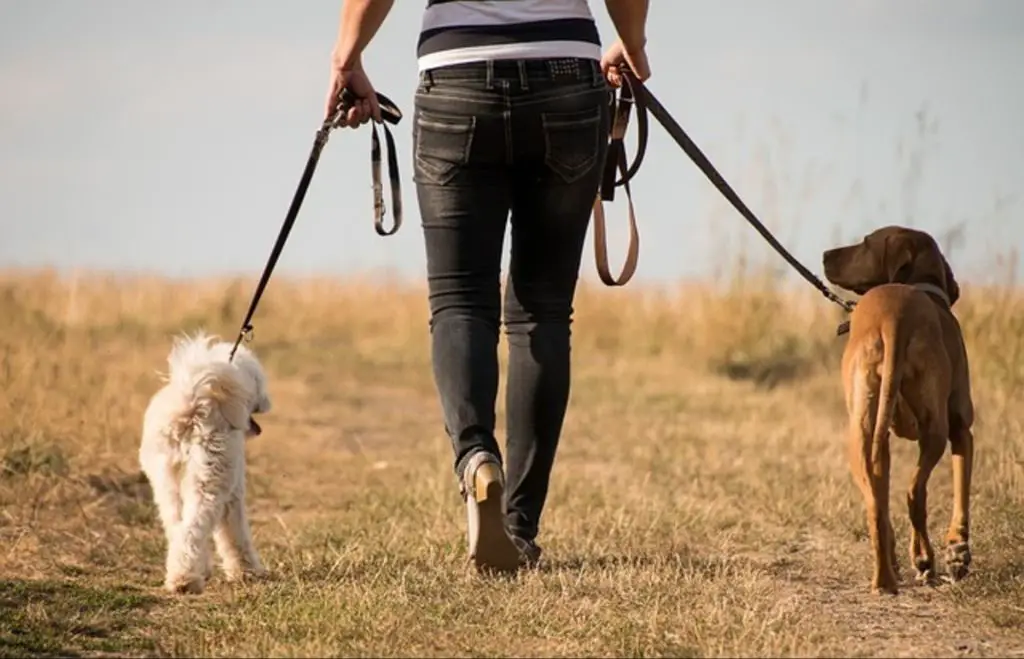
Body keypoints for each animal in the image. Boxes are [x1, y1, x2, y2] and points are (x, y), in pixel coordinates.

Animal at [142, 331, 276, 593]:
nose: (267, 401)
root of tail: (192, 406)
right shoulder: (233, 494)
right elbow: (235, 534)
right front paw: (247, 571)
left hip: (166, 484)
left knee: (177, 528)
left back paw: (182, 573)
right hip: (209, 482)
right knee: (191, 529)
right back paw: (185, 580)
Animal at [823, 224, 974, 593]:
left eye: (865, 243)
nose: (824, 255)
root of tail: (894, 318)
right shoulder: (961, 428)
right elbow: (961, 495)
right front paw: (958, 552)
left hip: (861, 435)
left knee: (877, 505)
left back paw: (886, 578)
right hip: (934, 431)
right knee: (914, 494)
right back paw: (925, 561)